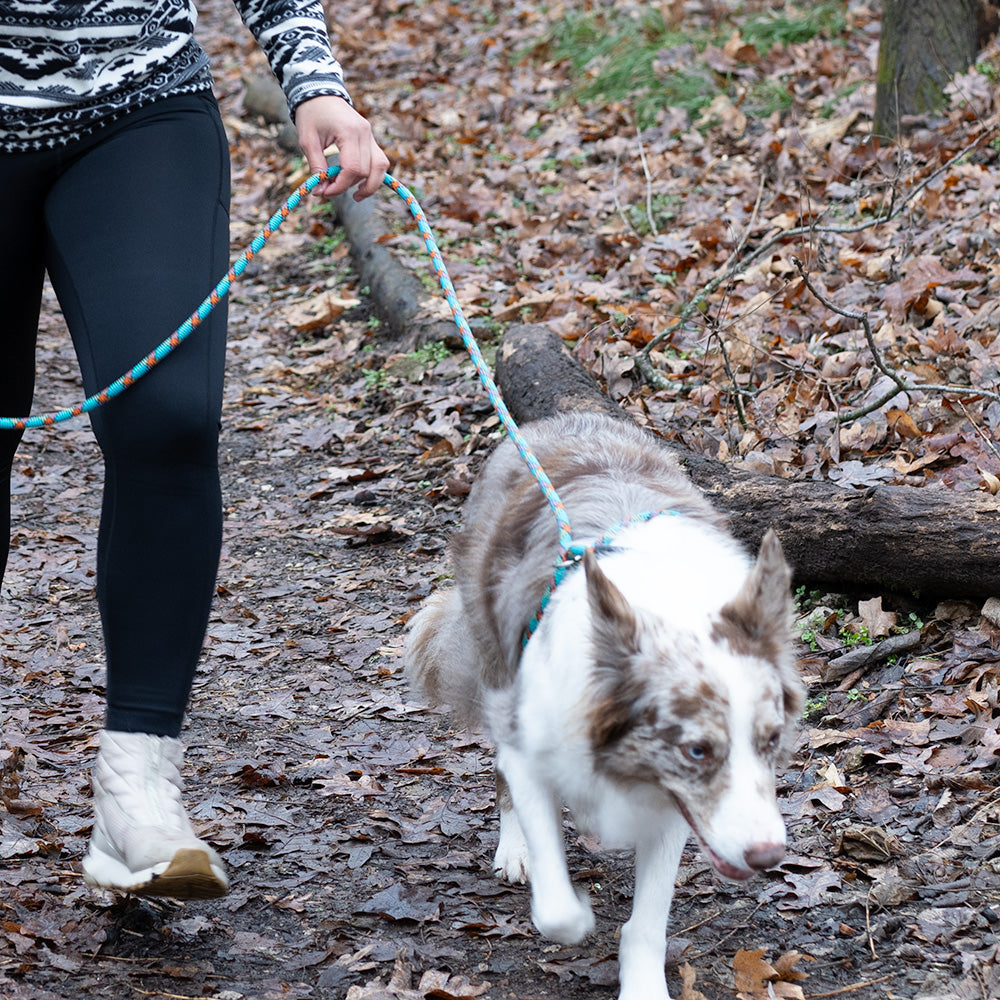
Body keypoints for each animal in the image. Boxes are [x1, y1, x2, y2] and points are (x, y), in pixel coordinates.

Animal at [406, 412, 804, 1000]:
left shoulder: (673, 800)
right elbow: (558, 911)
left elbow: (648, 923)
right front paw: (571, 906)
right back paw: (514, 850)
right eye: (697, 750)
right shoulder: (533, 747)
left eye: (771, 740)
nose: (767, 855)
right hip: (497, 663)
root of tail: (561, 418)